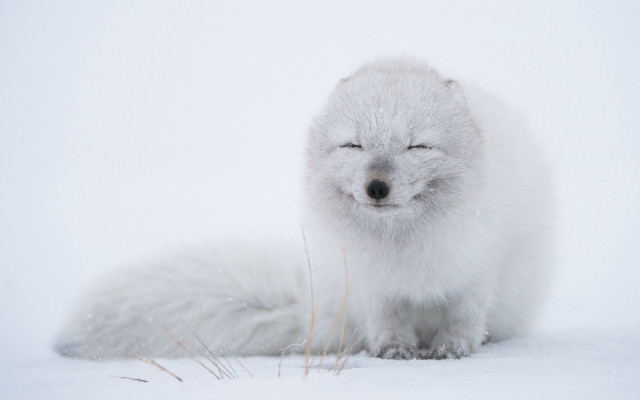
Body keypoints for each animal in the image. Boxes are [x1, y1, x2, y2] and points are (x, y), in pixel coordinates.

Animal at [55, 58, 553, 360]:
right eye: (353, 145)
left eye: (418, 145)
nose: (377, 186)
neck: (403, 248)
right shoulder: (372, 283)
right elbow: (387, 321)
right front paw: (394, 351)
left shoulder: (479, 267)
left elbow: (464, 316)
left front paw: (452, 350)